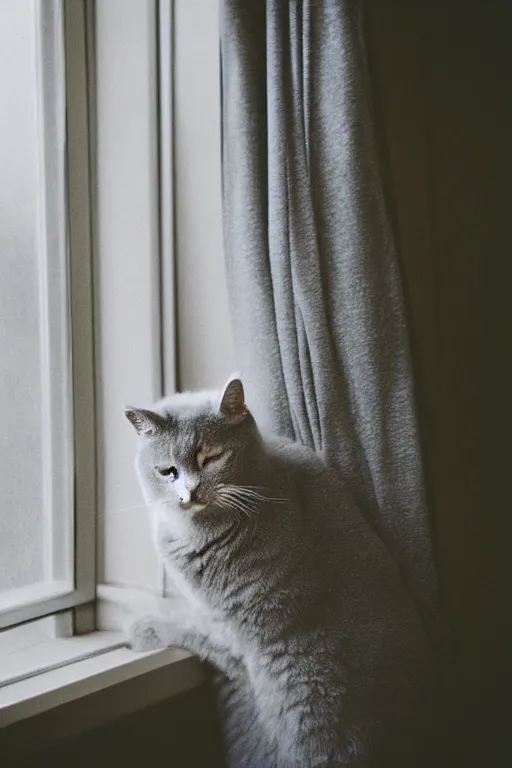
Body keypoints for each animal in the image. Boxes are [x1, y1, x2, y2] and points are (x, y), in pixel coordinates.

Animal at [124, 380, 432, 768]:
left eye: (211, 457)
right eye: (167, 471)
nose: (189, 491)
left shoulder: (244, 625)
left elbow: (197, 631)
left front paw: (145, 627)